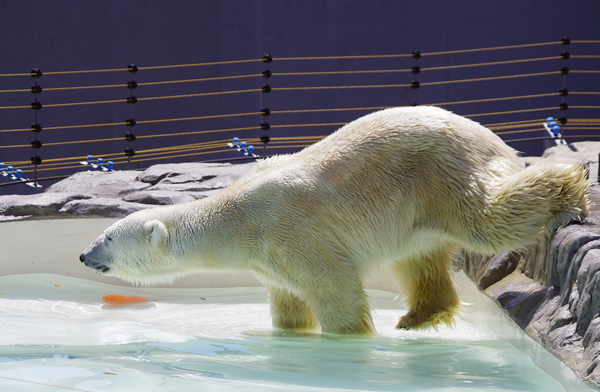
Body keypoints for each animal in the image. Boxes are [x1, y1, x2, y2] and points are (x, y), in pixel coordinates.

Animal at [81, 106, 592, 334]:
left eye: (107, 236)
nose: (84, 254)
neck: (237, 219)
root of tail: (485, 132)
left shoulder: (289, 230)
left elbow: (335, 290)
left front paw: (346, 338)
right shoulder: (270, 258)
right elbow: (288, 300)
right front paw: (289, 331)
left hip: (443, 172)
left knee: (487, 216)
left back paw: (569, 188)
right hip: (417, 207)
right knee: (419, 257)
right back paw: (417, 316)